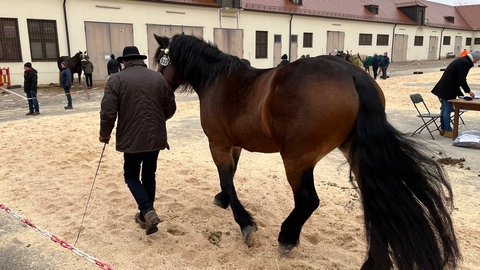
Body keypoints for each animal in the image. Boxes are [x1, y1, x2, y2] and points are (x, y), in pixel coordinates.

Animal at [155, 34, 462, 270]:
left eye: (161, 60)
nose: (160, 86)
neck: (218, 78)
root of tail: (353, 74)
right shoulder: (235, 144)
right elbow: (229, 177)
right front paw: (222, 200)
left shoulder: (218, 143)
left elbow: (227, 179)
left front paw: (244, 223)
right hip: (353, 154)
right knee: (374, 204)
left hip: (296, 160)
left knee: (308, 201)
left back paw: (287, 237)